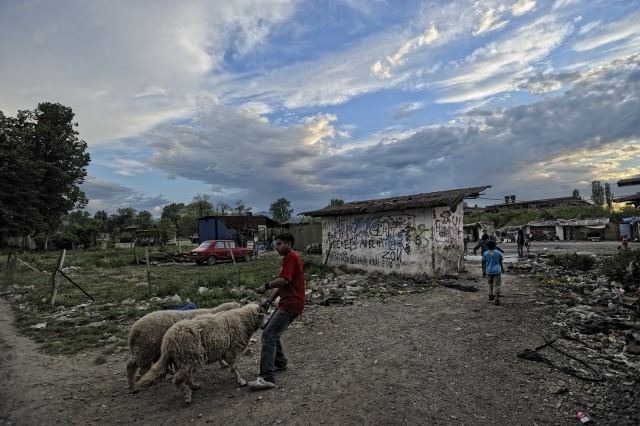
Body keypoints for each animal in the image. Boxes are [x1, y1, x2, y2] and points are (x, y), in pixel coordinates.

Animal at [136, 302, 266, 402]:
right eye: (263, 316)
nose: (265, 326)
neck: (243, 320)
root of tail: (167, 342)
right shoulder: (231, 350)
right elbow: (235, 367)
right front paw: (241, 381)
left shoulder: (226, 351)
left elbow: (232, 366)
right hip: (190, 357)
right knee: (177, 379)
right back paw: (187, 395)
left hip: (182, 359)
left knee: (184, 376)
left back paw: (193, 386)